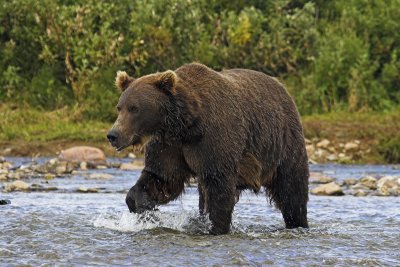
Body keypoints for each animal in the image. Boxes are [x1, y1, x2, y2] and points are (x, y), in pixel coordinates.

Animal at [108, 62, 310, 234]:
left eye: (134, 108)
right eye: (120, 107)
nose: (113, 135)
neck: (185, 126)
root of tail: (282, 87)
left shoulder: (213, 141)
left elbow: (218, 187)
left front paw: (215, 227)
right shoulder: (169, 145)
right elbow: (162, 178)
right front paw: (143, 207)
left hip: (283, 144)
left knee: (292, 189)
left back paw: (298, 223)